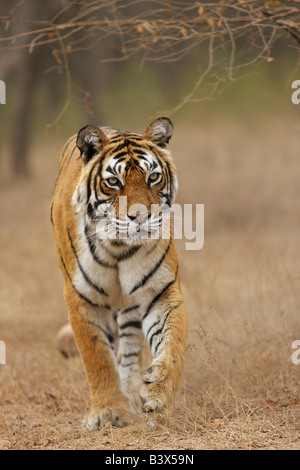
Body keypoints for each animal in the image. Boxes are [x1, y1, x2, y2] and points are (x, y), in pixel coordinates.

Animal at [50, 116, 189, 430]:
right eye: (114, 181)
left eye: (153, 177)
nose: (141, 217)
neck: (117, 246)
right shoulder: (82, 297)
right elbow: (97, 357)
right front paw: (108, 412)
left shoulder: (160, 291)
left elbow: (172, 344)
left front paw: (157, 395)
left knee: (129, 348)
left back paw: (133, 389)